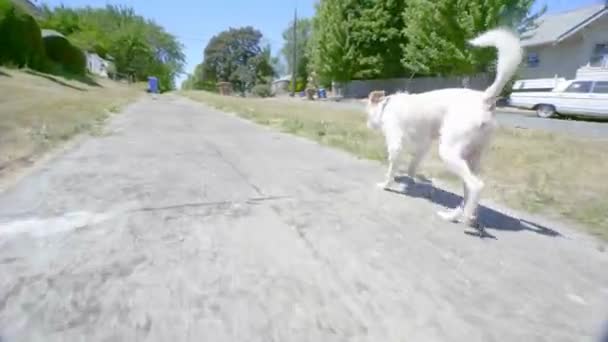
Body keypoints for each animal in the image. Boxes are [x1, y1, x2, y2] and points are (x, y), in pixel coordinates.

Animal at [366, 28, 524, 226]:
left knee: (476, 186)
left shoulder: (396, 145)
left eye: (367, 113)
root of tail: (484, 99)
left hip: (450, 152)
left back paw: (466, 217)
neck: (387, 105)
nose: (367, 124)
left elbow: (391, 170)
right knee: (468, 190)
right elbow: (412, 167)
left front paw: (386, 185)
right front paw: (415, 181)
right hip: (472, 157)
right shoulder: (423, 146)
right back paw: (455, 215)